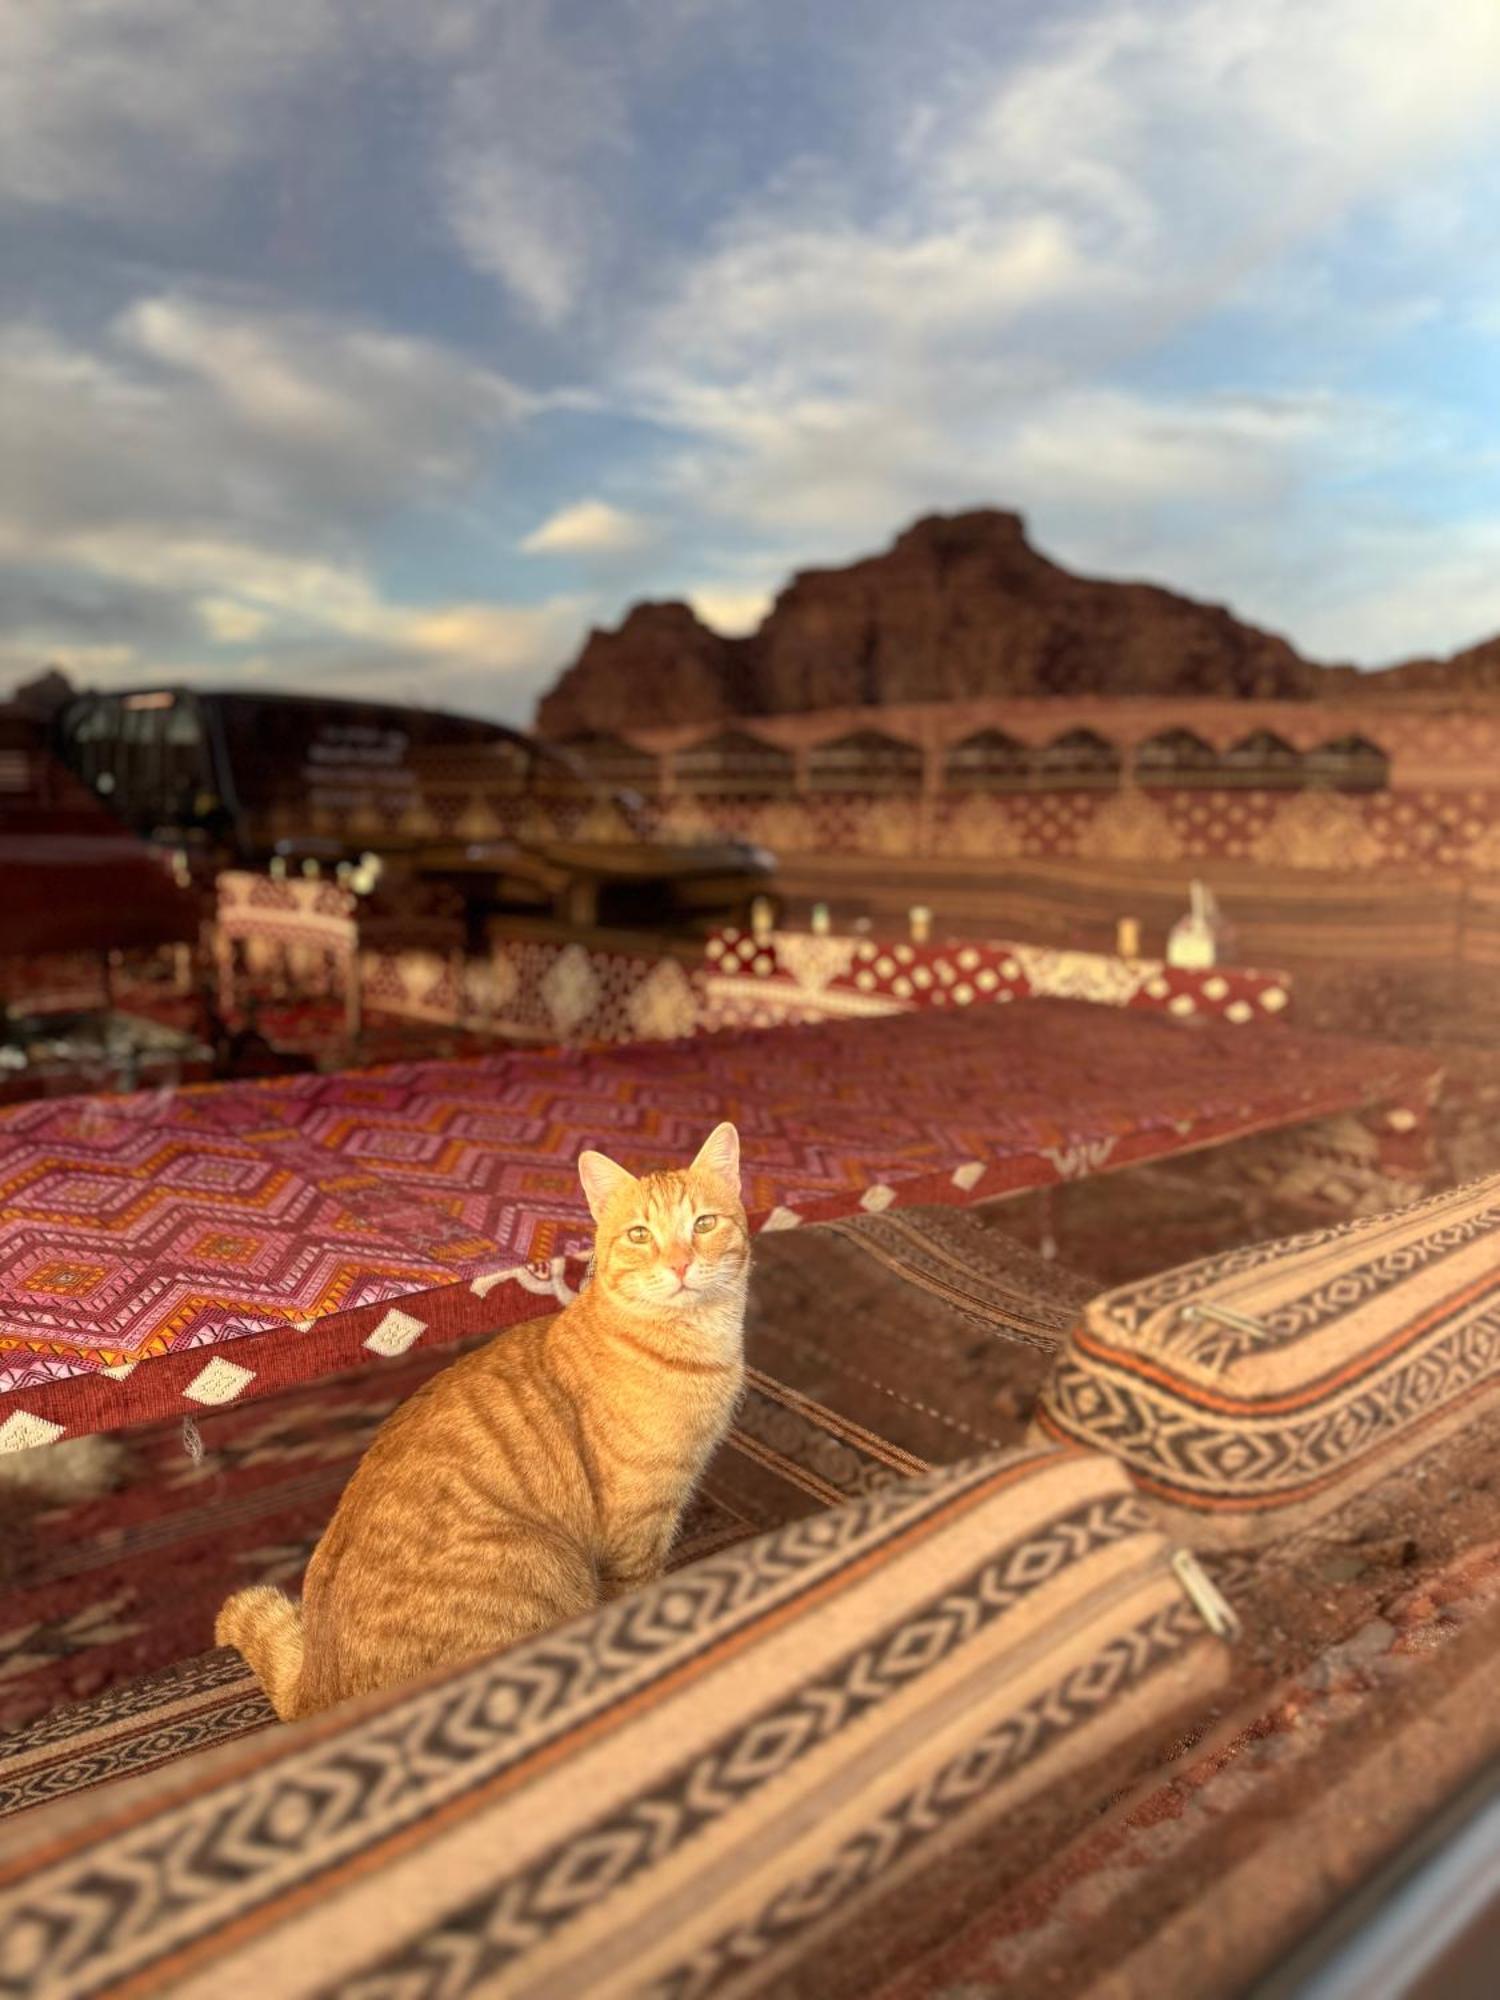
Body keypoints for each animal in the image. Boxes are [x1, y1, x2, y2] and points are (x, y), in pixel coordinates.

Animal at [214, 1128, 752, 1720]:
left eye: (703, 1224)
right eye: (640, 1235)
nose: (680, 1266)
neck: (696, 1345)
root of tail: (313, 1692)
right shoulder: (635, 1533)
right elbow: (638, 1602)